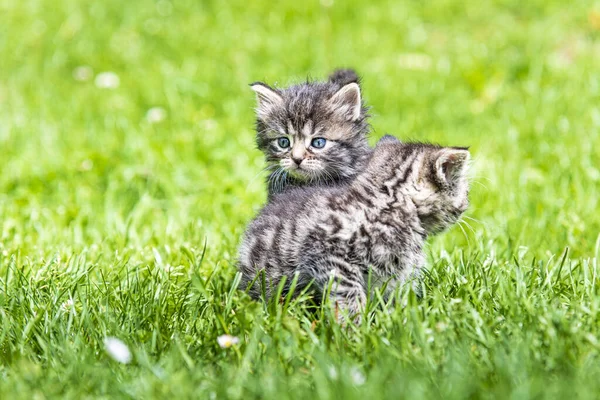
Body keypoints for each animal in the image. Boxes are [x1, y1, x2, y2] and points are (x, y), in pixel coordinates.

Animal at [237, 136, 472, 320]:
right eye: (464, 192)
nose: (466, 204)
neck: (387, 204)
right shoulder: (329, 256)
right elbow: (348, 296)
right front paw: (354, 330)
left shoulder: (399, 274)